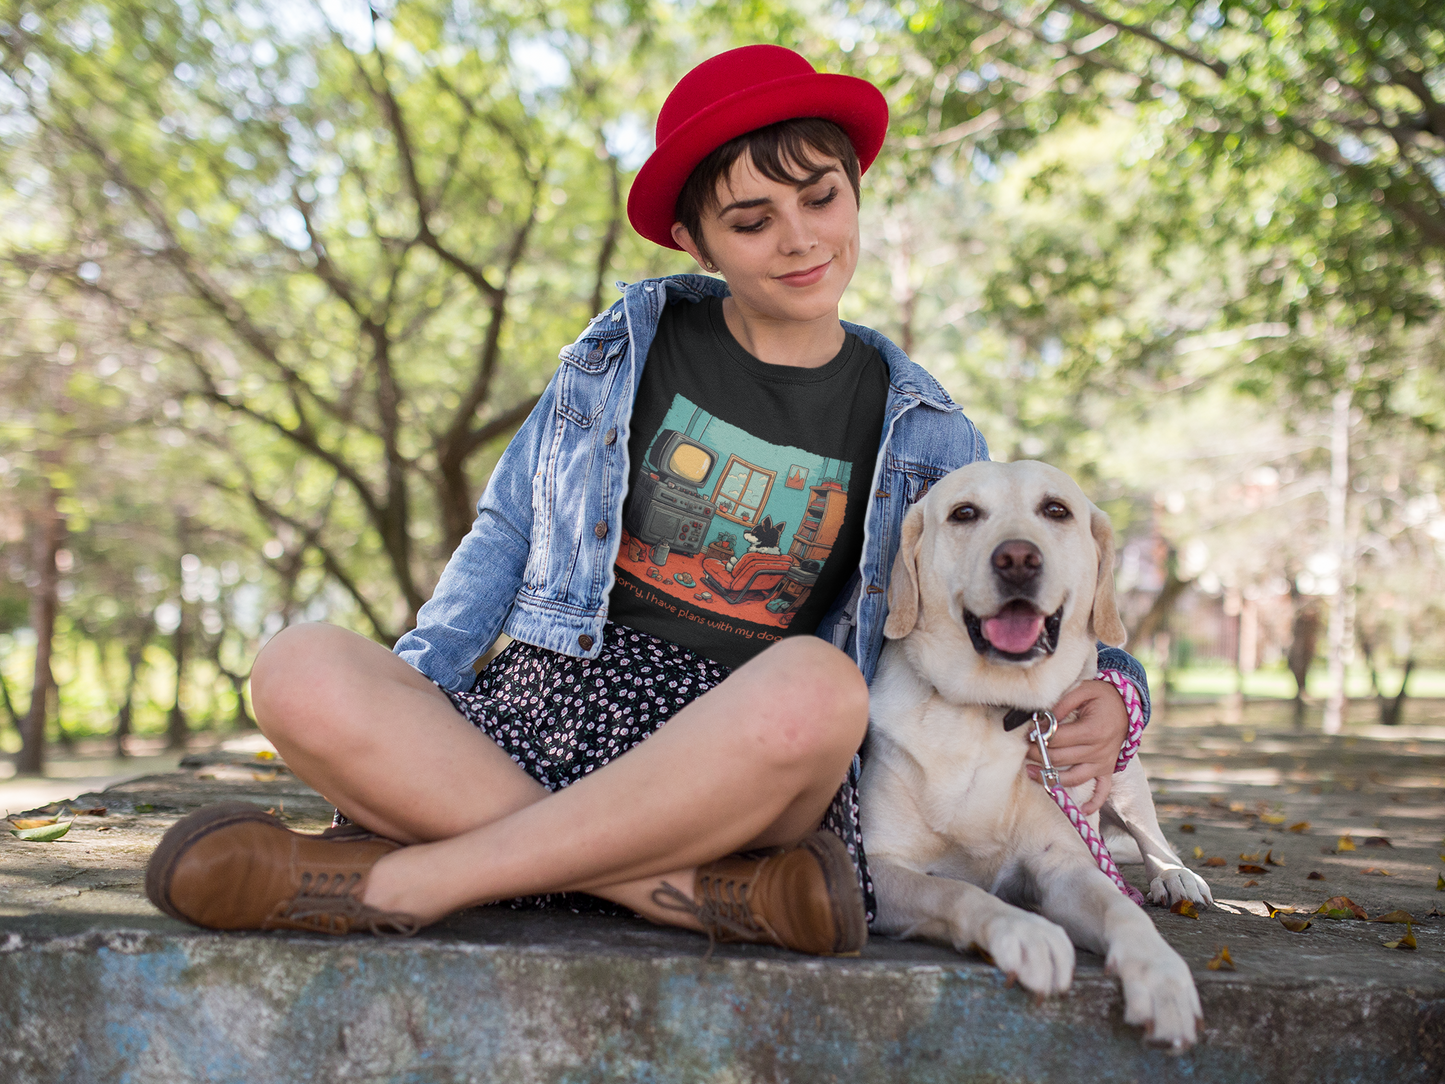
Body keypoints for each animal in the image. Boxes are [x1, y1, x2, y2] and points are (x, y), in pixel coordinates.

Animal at [867, 459, 1208, 1052]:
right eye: (964, 513)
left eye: (1055, 510)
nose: (1018, 559)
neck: (992, 710)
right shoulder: (876, 865)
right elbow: (955, 891)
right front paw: (1026, 931)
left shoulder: (1064, 865)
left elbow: (1124, 911)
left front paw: (1162, 974)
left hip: (1124, 780)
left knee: (1151, 838)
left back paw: (1176, 877)